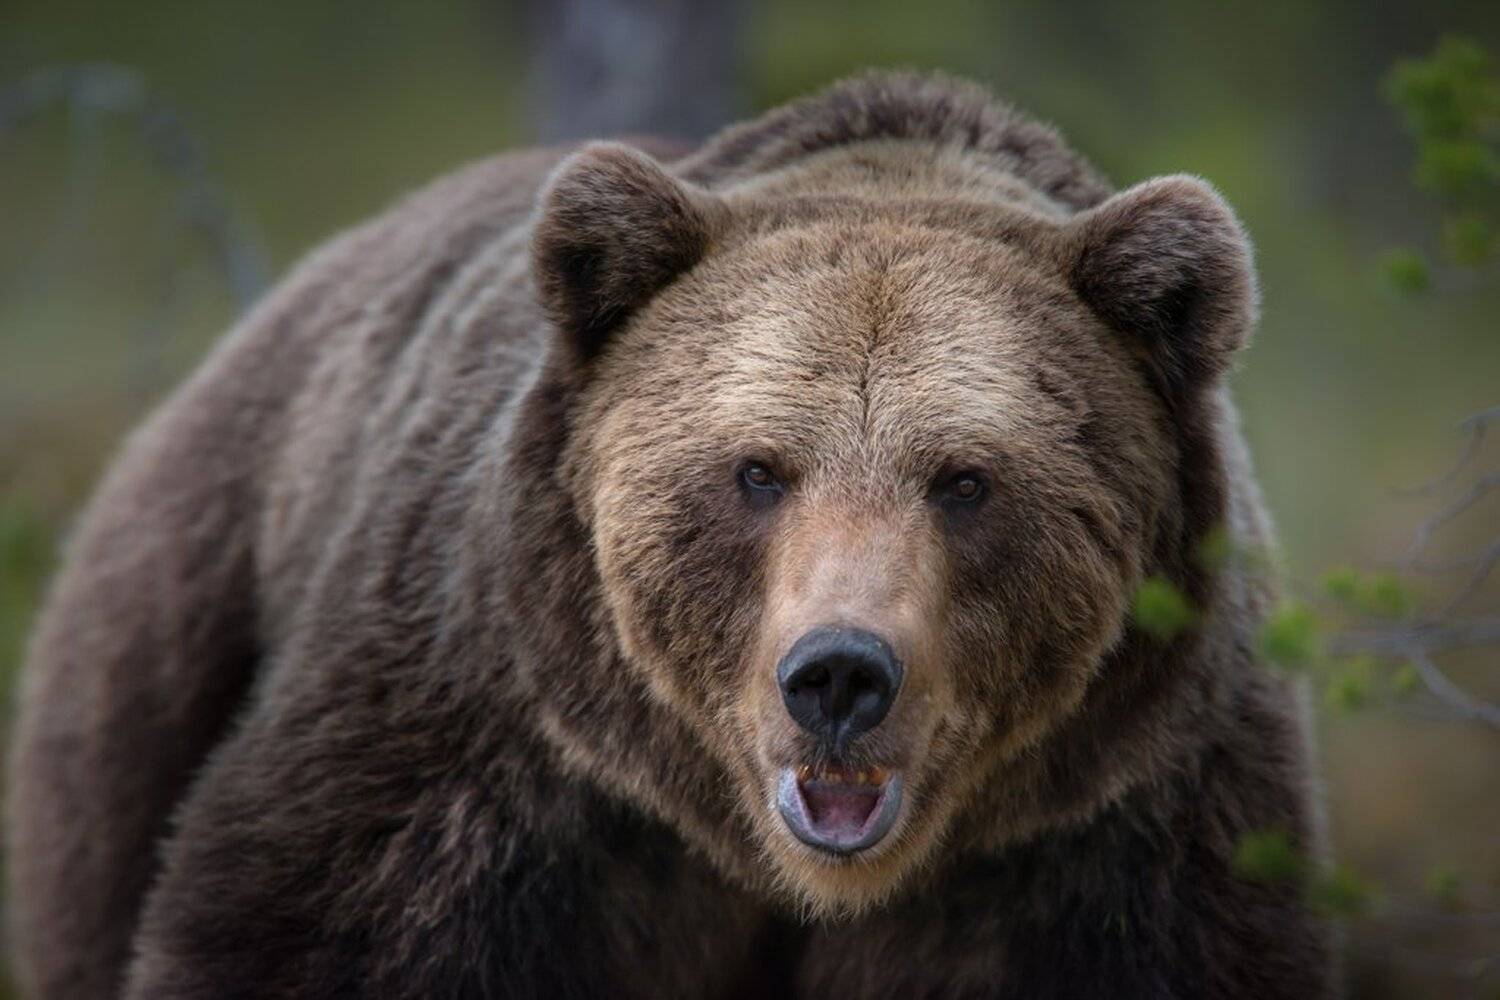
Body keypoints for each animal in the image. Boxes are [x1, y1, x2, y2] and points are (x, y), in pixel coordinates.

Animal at [7, 72, 1334, 999]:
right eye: (757, 470)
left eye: (966, 479)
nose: (839, 674)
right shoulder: (481, 767)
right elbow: (311, 930)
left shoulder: (1115, 834)